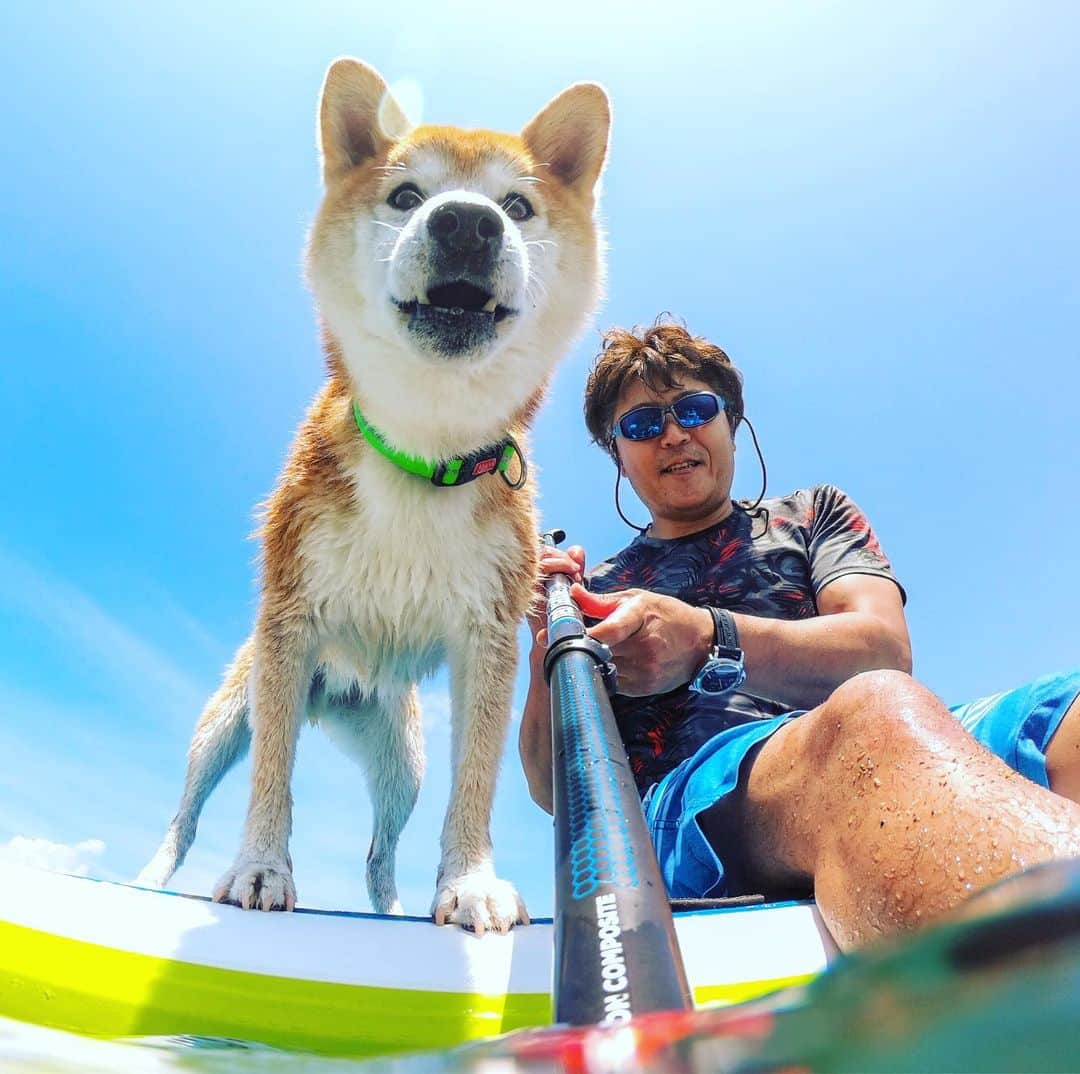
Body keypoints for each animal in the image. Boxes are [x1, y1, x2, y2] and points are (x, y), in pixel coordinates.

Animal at [137, 58, 609, 929]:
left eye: (517, 206)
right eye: (405, 194)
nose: (467, 225)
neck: (422, 458)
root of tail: (335, 693)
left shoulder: (489, 642)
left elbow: (476, 784)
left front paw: (470, 881)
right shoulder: (288, 623)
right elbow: (272, 778)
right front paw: (260, 867)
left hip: (403, 760)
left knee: (379, 854)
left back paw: (390, 909)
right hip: (230, 713)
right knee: (190, 807)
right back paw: (155, 875)